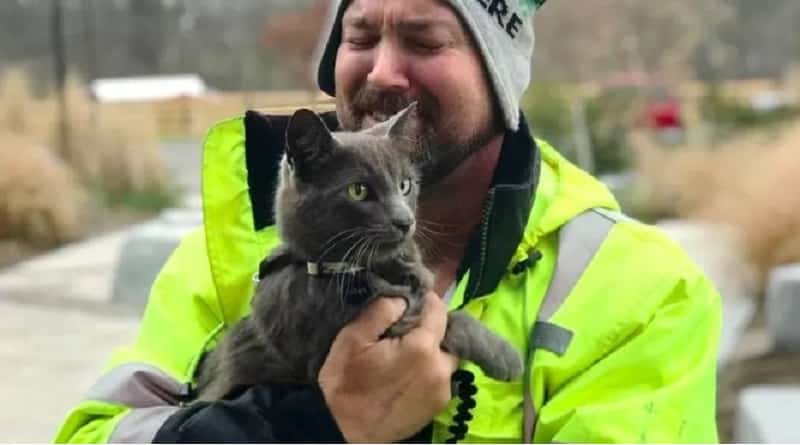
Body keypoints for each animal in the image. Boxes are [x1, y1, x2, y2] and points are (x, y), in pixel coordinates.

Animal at [195, 106, 524, 400]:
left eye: (405, 185)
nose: (405, 221)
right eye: (358, 190)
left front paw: (501, 351)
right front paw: (506, 357)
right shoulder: (324, 350)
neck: (363, 270)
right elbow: (446, 320)